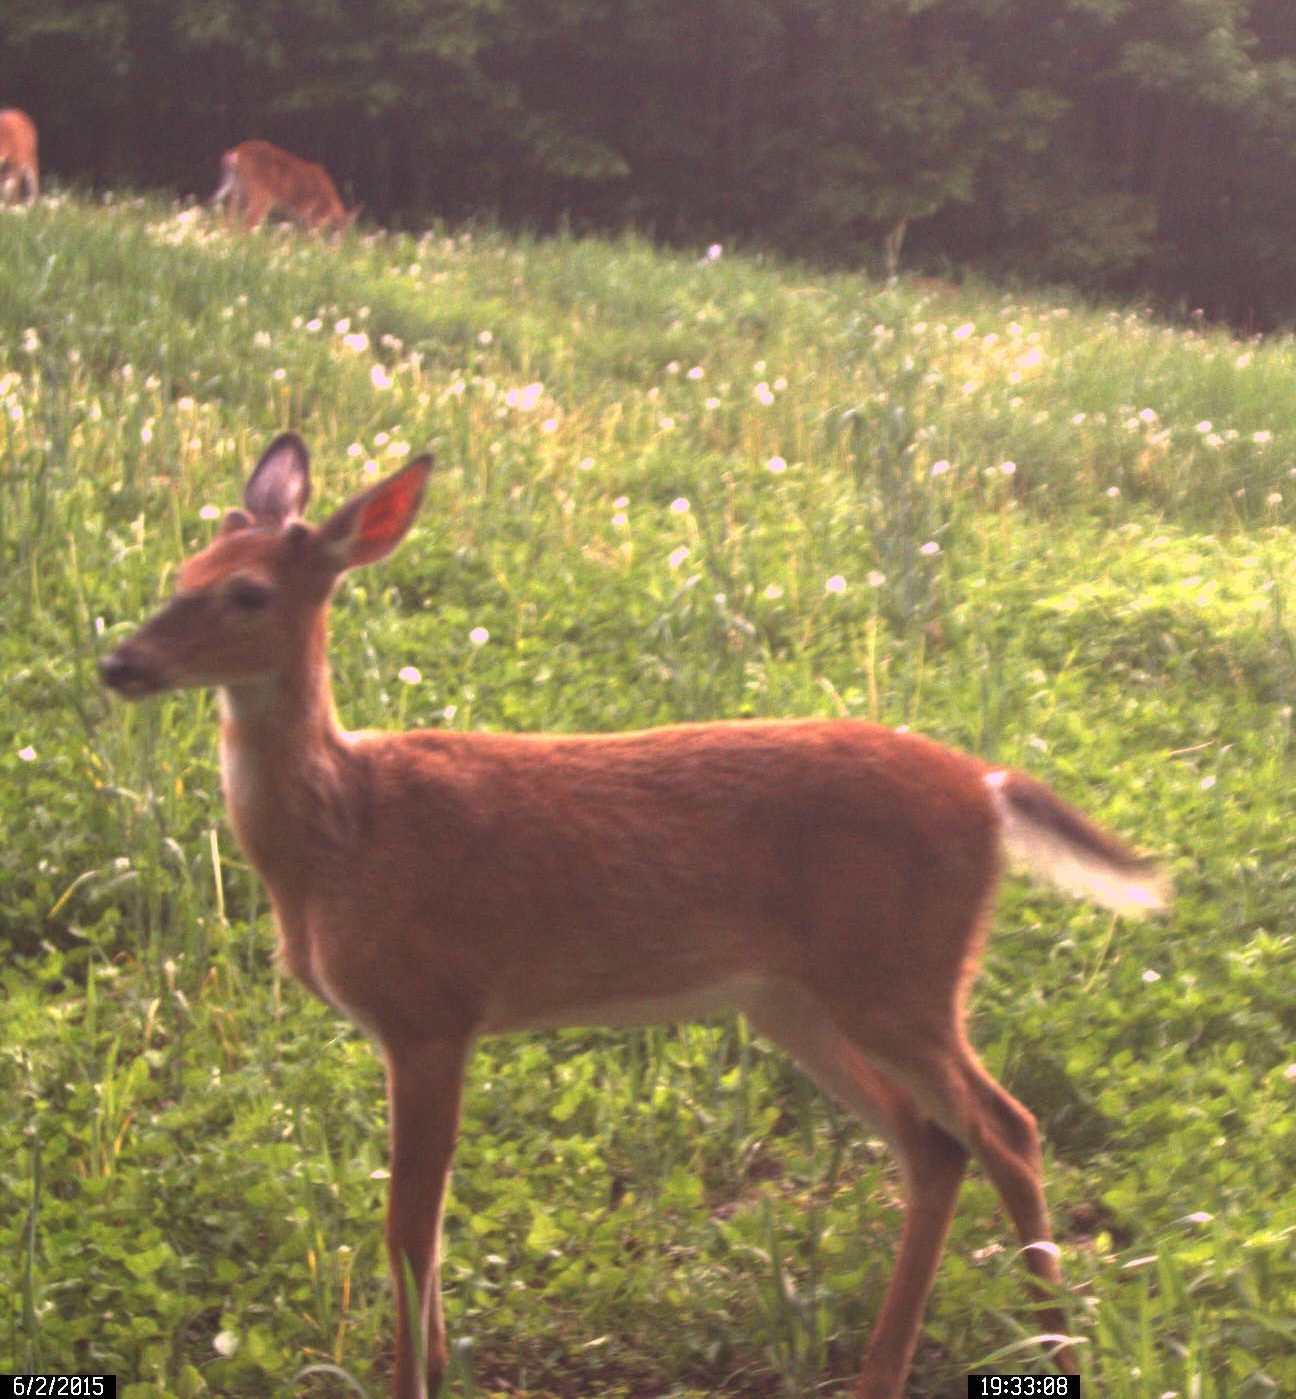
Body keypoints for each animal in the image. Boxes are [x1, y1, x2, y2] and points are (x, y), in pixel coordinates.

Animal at [96, 430, 1170, 1393]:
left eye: (248, 593)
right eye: (181, 568)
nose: (118, 664)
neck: (344, 834)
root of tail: (990, 789)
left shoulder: (432, 1010)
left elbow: (409, 1227)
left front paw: (413, 1379)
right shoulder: (427, 1026)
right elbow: (421, 1228)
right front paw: (436, 1364)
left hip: (901, 978)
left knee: (1007, 1126)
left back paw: (1058, 1352)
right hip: (796, 1000)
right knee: (933, 1140)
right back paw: (888, 1370)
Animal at [212, 139, 355, 235]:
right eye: (342, 230)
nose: (340, 247)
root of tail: (236, 152)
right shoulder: (315, 216)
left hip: (239, 191)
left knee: (229, 220)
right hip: (261, 194)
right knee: (247, 224)